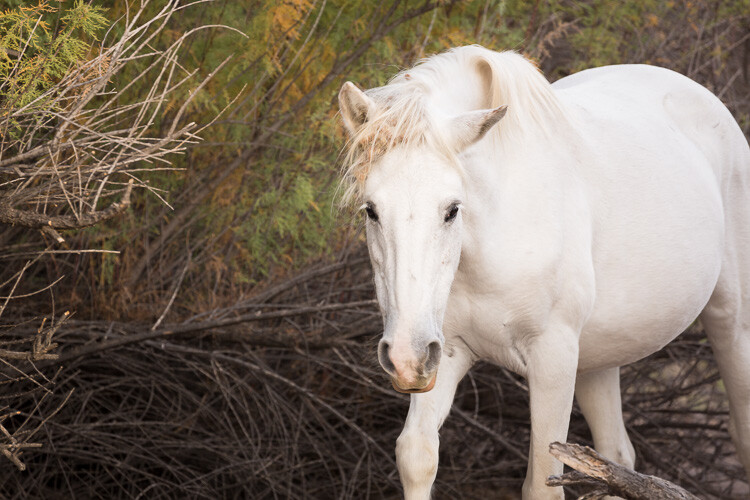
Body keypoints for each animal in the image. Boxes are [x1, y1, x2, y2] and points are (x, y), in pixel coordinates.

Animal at [340, 45, 750, 498]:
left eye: (451, 209)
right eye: (371, 210)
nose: (404, 358)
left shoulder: (552, 359)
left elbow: (542, 482)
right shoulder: (444, 350)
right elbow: (417, 457)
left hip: (730, 323)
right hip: (597, 361)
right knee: (616, 457)